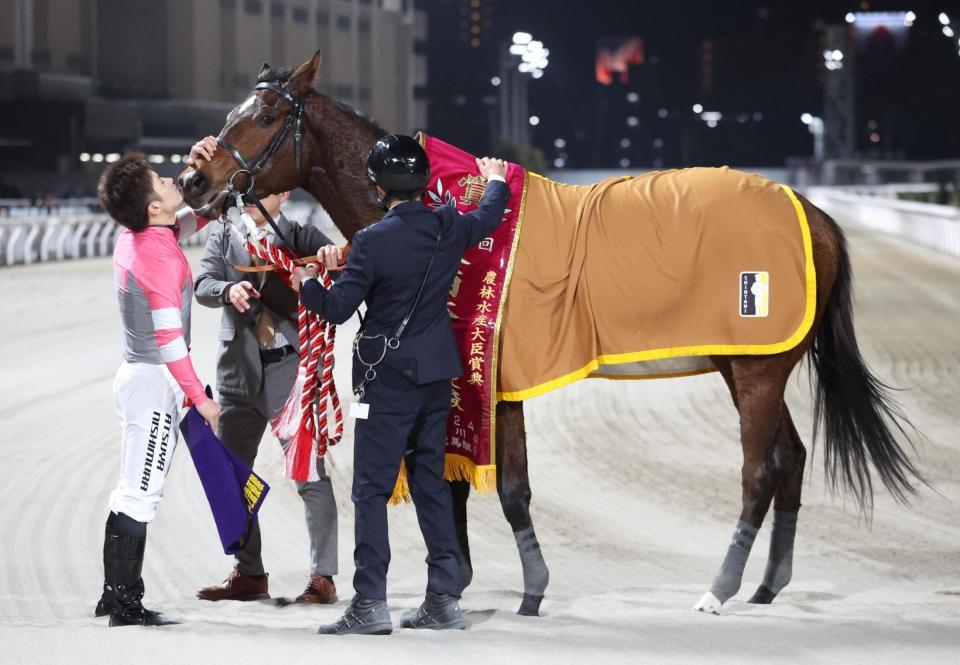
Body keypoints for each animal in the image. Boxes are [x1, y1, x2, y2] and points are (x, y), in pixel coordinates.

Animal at [178, 52, 924, 616]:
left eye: (266, 117)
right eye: (234, 114)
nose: (193, 178)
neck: (442, 210)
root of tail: (810, 211)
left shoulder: (483, 380)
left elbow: (501, 487)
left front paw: (509, 590)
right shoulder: (475, 384)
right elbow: (466, 481)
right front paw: (465, 580)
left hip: (756, 370)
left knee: (759, 470)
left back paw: (719, 591)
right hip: (750, 365)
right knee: (790, 459)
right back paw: (768, 586)